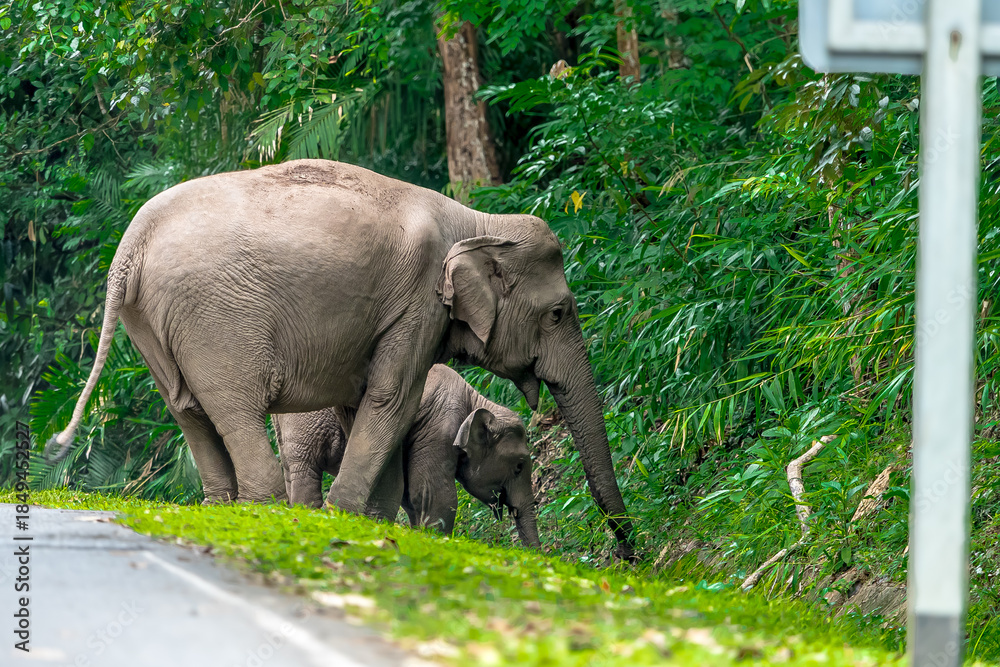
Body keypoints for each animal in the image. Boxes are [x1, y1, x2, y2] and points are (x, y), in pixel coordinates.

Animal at [274, 364, 540, 547]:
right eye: (519, 466)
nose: (536, 555)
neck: (475, 398)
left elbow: (410, 494)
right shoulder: (438, 427)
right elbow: (433, 492)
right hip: (306, 420)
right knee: (305, 468)